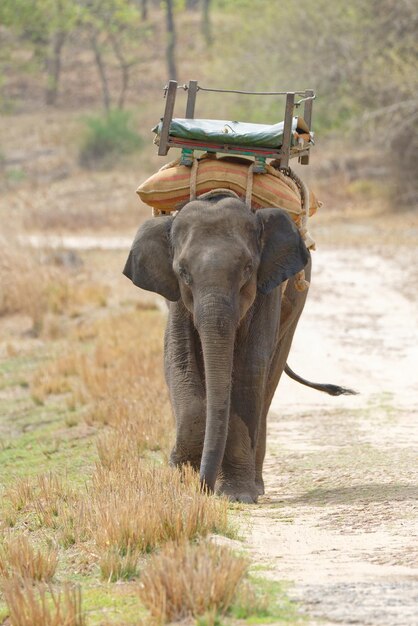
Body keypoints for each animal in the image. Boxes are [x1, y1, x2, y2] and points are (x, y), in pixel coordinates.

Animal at [123, 194, 352, 502]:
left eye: (247, 269)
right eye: (183, 273)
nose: (203, 488)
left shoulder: (267, 290)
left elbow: (249, 367)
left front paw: (235, 495)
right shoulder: (177, 300)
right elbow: (179, 360)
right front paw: (181, 480)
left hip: (296, 302)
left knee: (268, 380)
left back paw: (256, 485)